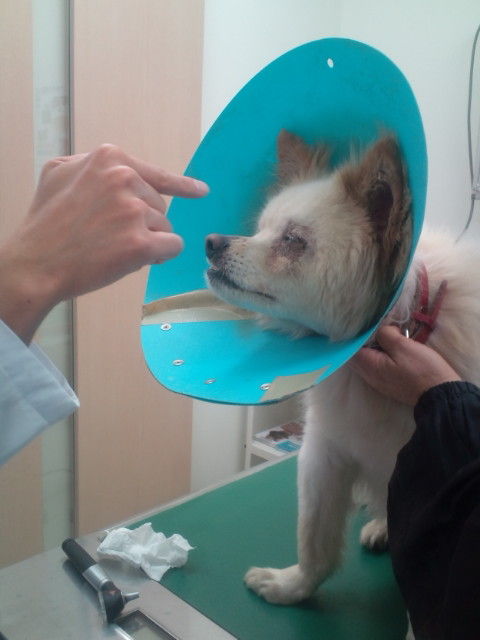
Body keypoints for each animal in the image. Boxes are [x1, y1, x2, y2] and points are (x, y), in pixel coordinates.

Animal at [204, 130, 480, 634]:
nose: (212, 241)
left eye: (293, 240)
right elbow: (314, 539)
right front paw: (291, 588)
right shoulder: (325, 452)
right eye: (260, 228)